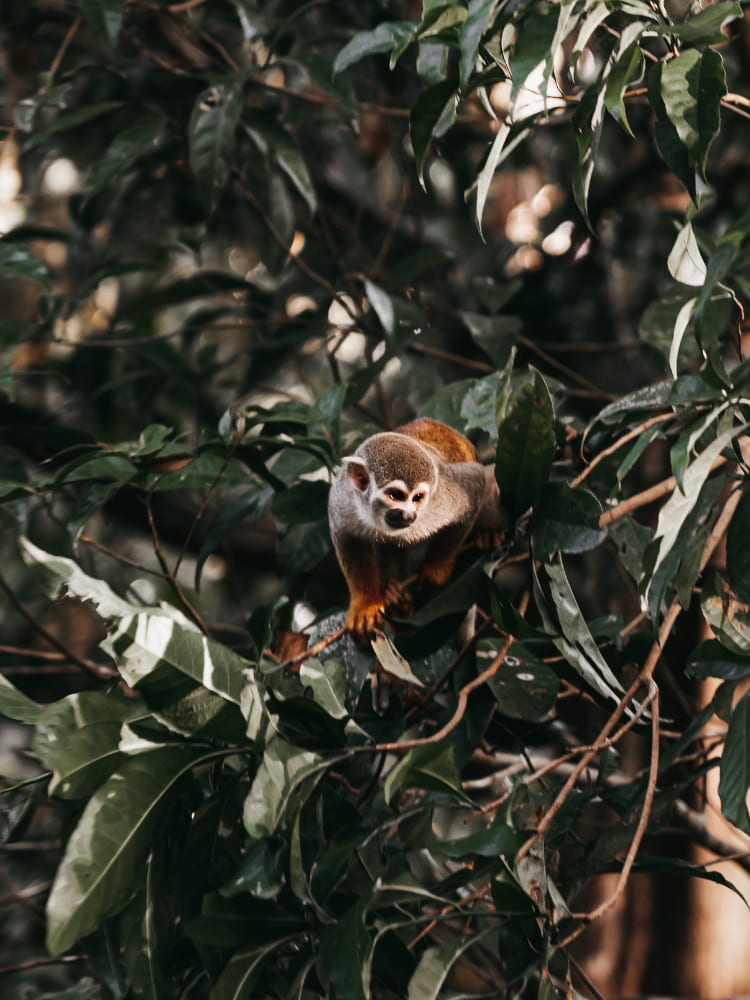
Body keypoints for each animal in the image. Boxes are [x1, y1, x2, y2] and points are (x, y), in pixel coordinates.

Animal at [327, 417, 506, 641]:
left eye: (418, 498)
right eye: (395, 495)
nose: (409, 515)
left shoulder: (442, 496)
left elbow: (476, 483)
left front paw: (437, 568)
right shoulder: (343, 497)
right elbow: (347, 536)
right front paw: (366, 604)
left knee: (488, 475)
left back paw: (488, 532)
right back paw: (397, 604)